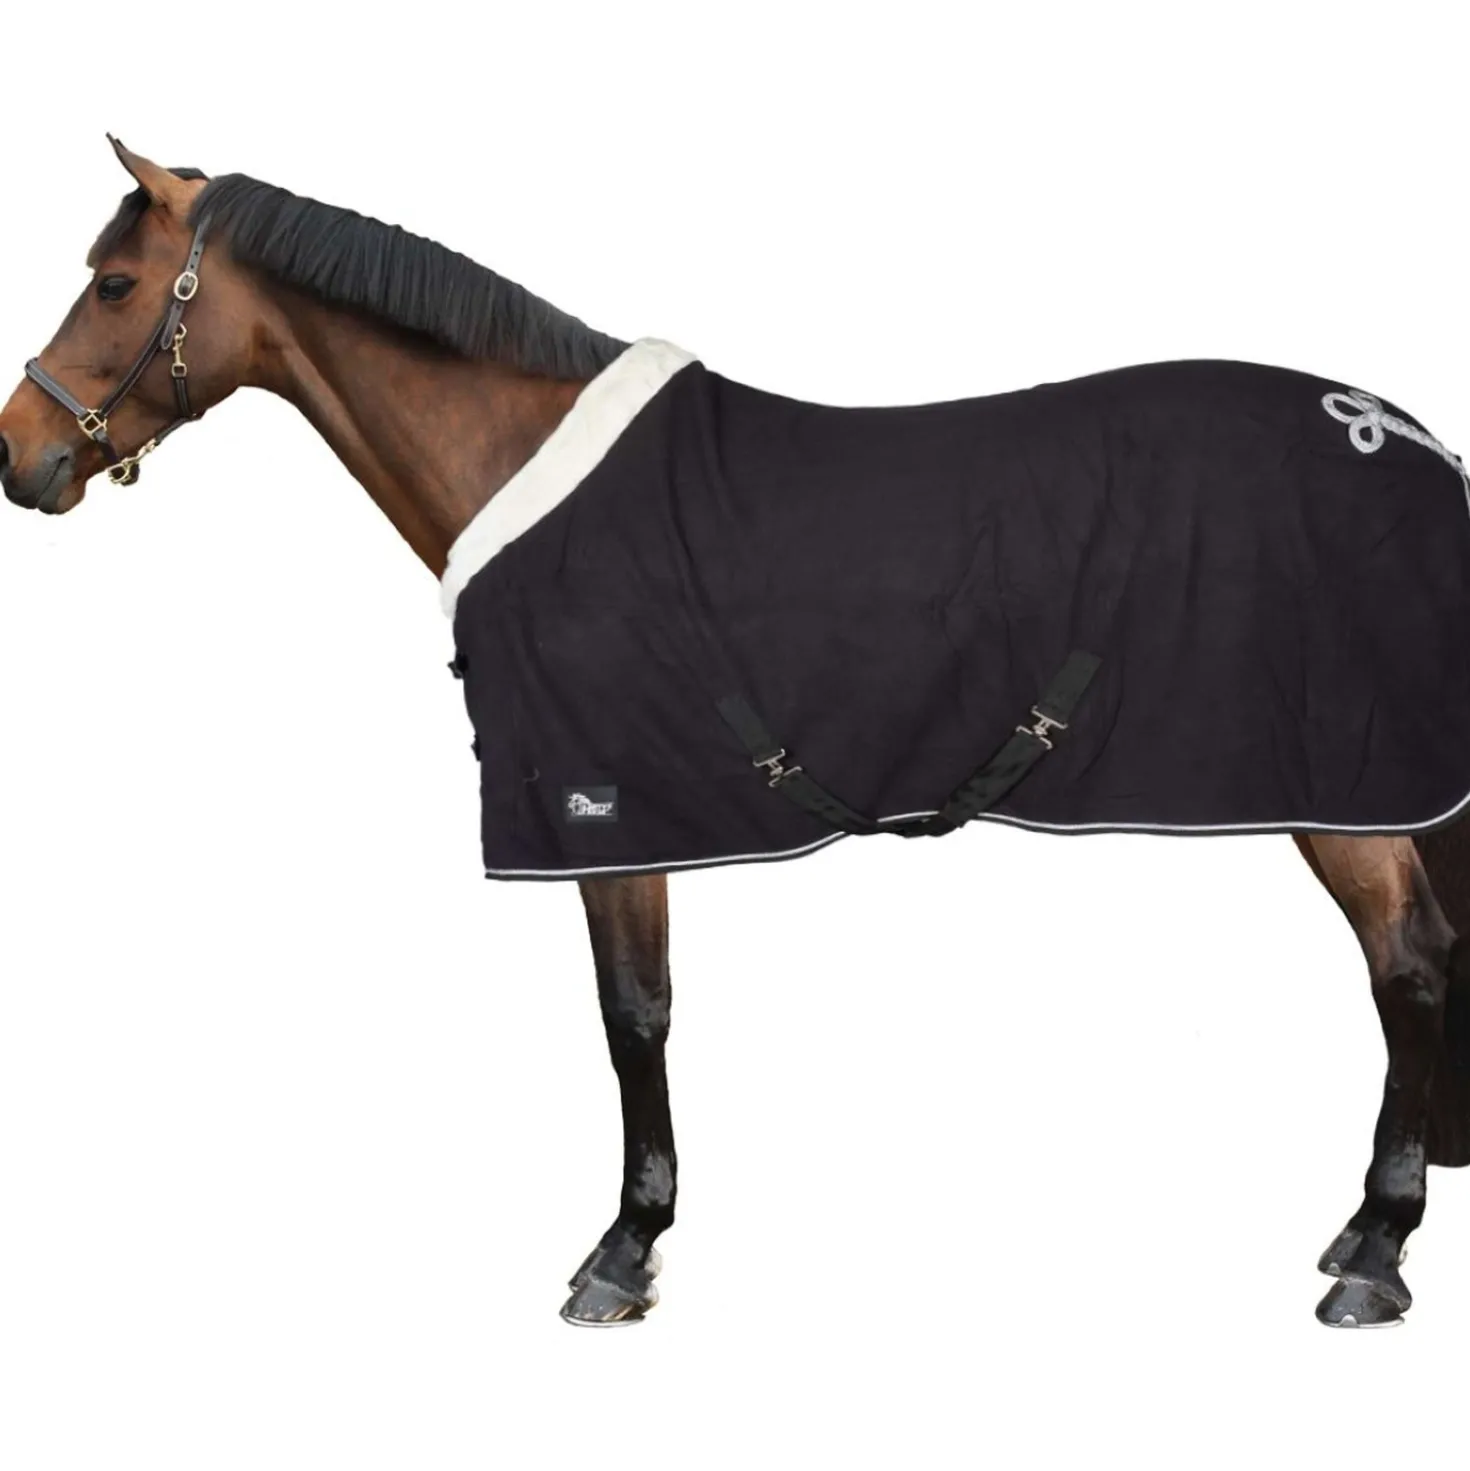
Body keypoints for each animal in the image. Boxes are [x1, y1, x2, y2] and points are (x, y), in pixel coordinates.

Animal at [3, 137, 1469, 1331]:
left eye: (117, 286)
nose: (23, 456)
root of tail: (1401, 437)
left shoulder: (600, 805)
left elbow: (632, 1014)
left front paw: (622, 1249)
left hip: (1340, 784)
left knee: (1405, 965)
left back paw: (1372, 1253)